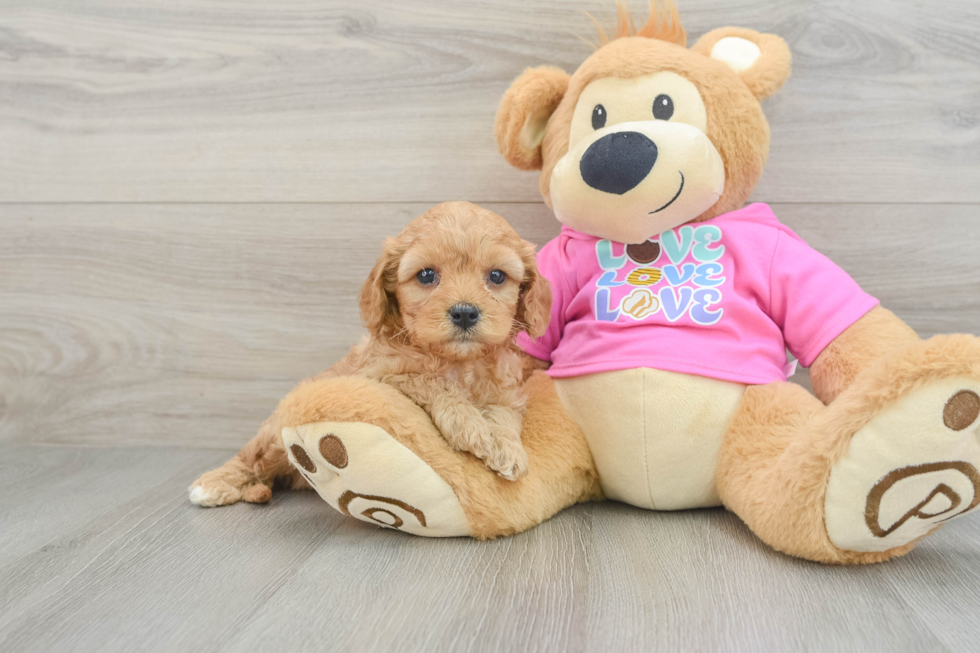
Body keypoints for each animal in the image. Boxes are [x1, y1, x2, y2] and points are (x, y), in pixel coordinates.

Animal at [332, 201, 552, 482]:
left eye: (497, 276)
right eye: (426, 275)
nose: (465, 313)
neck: (460, 363)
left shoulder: (507, 389)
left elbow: (503, 409)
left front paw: (507, 447)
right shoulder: (378, 374)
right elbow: (430, 380)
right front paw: (468, 423)